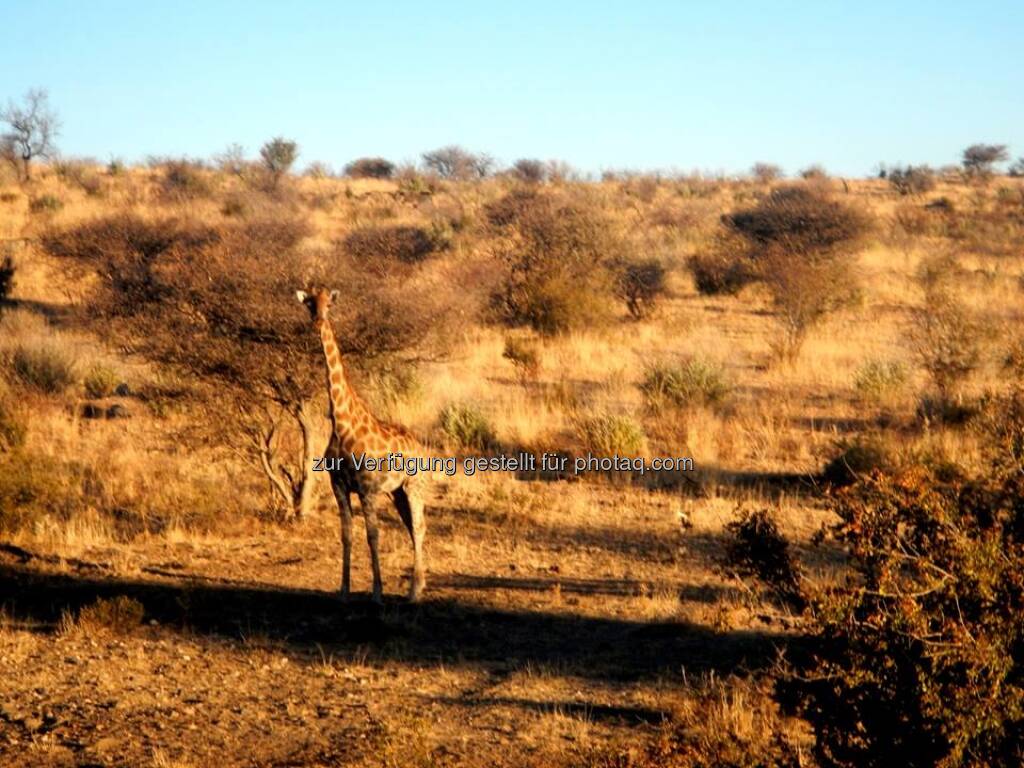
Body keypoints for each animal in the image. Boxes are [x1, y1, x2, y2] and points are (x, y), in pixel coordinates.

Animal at [294, 286, 425, 606]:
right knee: (411, 528)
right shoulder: (339, 486)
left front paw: (377, 593)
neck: (342, 424)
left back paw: (415, 592)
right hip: (397, 492)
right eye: (309, 304)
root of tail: (420, 443)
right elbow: (347, 535)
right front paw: (343, 590)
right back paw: (416, 587)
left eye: (329, 304)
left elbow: (372, 535)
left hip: (414, 485)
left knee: (419, 528)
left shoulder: (367, 488)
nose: (318, 321)